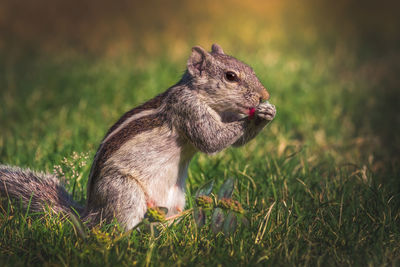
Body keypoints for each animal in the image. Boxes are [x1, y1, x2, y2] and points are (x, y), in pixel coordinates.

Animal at [0, 44, 276, 230]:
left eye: (250, 68)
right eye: (230, 76)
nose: (265, 94)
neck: (206, 100)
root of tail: (90, 214)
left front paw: (267, 113)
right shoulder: (187, 109)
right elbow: (211, 139)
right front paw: (255, 117)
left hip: (174, 199)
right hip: (124, 192)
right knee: (114, 227)